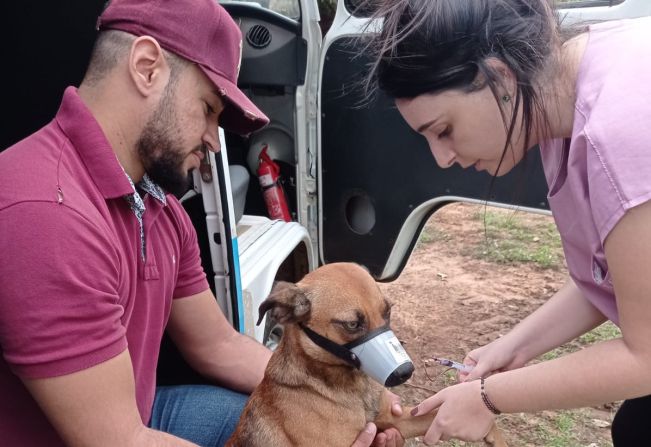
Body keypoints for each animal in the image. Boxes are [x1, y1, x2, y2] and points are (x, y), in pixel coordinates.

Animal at [227, 264, 506, 446]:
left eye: (388, 311)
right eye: (352, 324)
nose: (405, 372)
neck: (350, 388)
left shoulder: (396, 419)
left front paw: (492, 434)